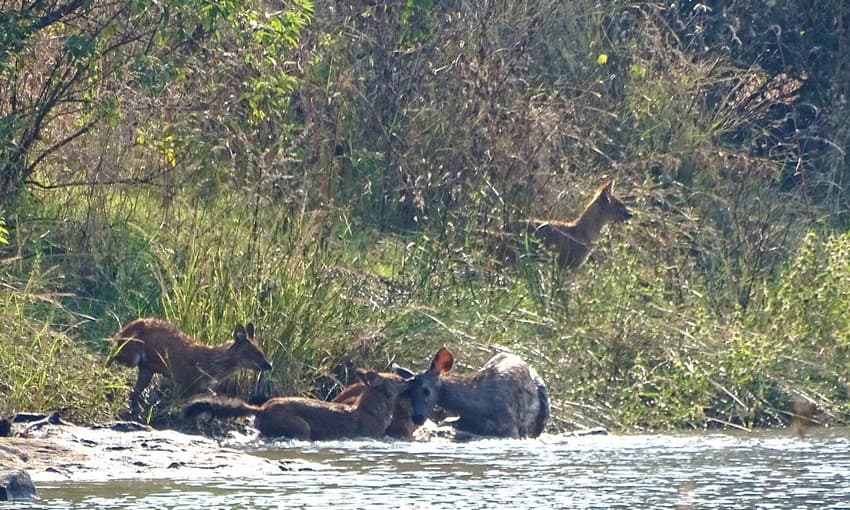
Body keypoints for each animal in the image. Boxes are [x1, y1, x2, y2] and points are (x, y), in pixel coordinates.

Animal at [107, 318, 270, 406]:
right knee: (111, 354)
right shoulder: (185, 383)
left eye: (262, 350)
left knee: (134, 393)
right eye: (255, 352)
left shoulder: (201, 387)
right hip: (131, 357)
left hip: (146, 368)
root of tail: (124, 329)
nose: (269, 365)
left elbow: (213, 395)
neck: (212, 365)